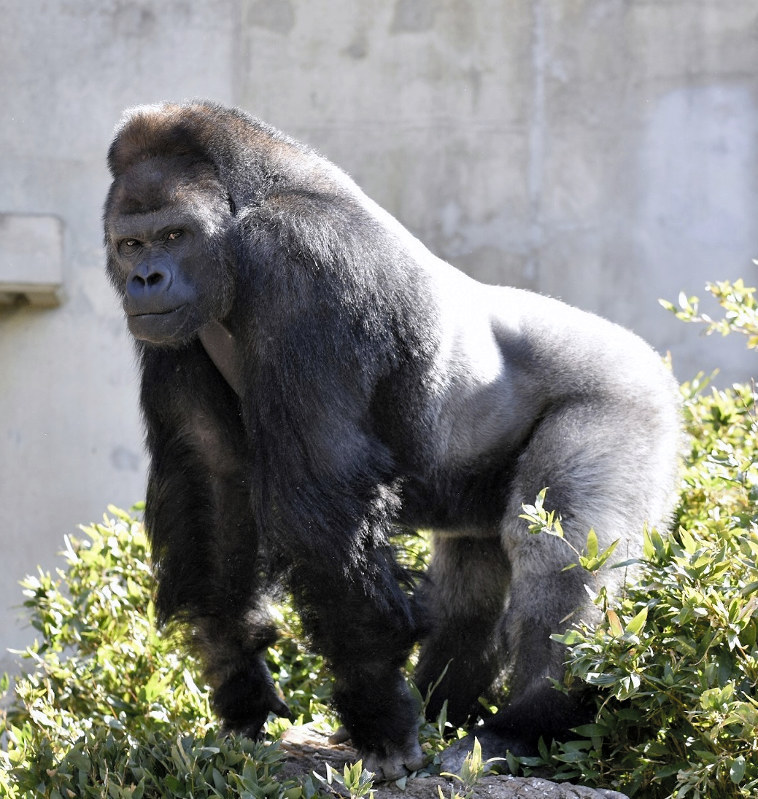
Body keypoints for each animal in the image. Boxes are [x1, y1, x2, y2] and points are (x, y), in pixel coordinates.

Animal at [102, 100, 684, 780]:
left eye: (174, 236)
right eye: (131, 244)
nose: (145, 277)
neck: (245, 211)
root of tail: (652, 360)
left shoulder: (299, 262)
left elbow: (319, 499)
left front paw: (378, 714)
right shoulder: (172, 327)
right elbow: (213, 481)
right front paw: (242, 684)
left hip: (628, 398)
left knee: (558, 548)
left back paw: (532, 722)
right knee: (471, 578)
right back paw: (447, 710)